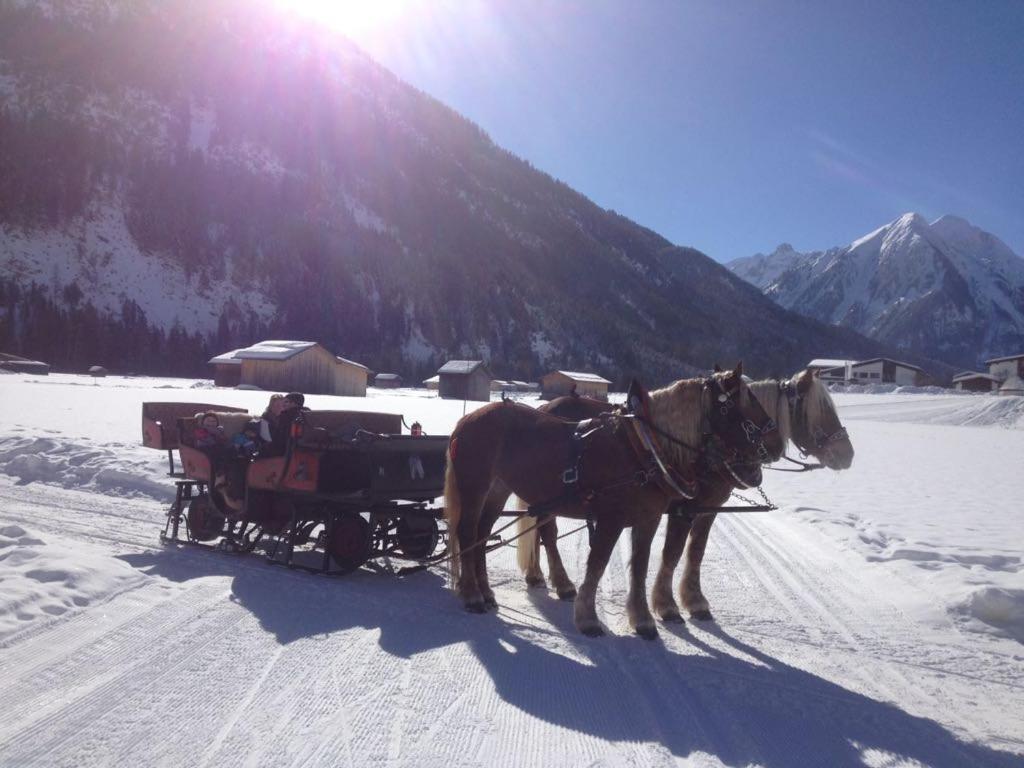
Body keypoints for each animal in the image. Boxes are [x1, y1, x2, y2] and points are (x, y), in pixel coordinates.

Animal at [442, 366, 782, 638]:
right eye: (746, 404)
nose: (775, 445)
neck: (643, 448)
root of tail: (465, 421)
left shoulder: (649, 519)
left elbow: (642, 565)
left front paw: (643, 619)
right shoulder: (611, 519)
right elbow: (598, 565)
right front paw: (588, 619)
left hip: (497, 491)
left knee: (483, 535)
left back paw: (486, 592)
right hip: (474, 489)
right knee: (468, 534)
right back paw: (472, 595)